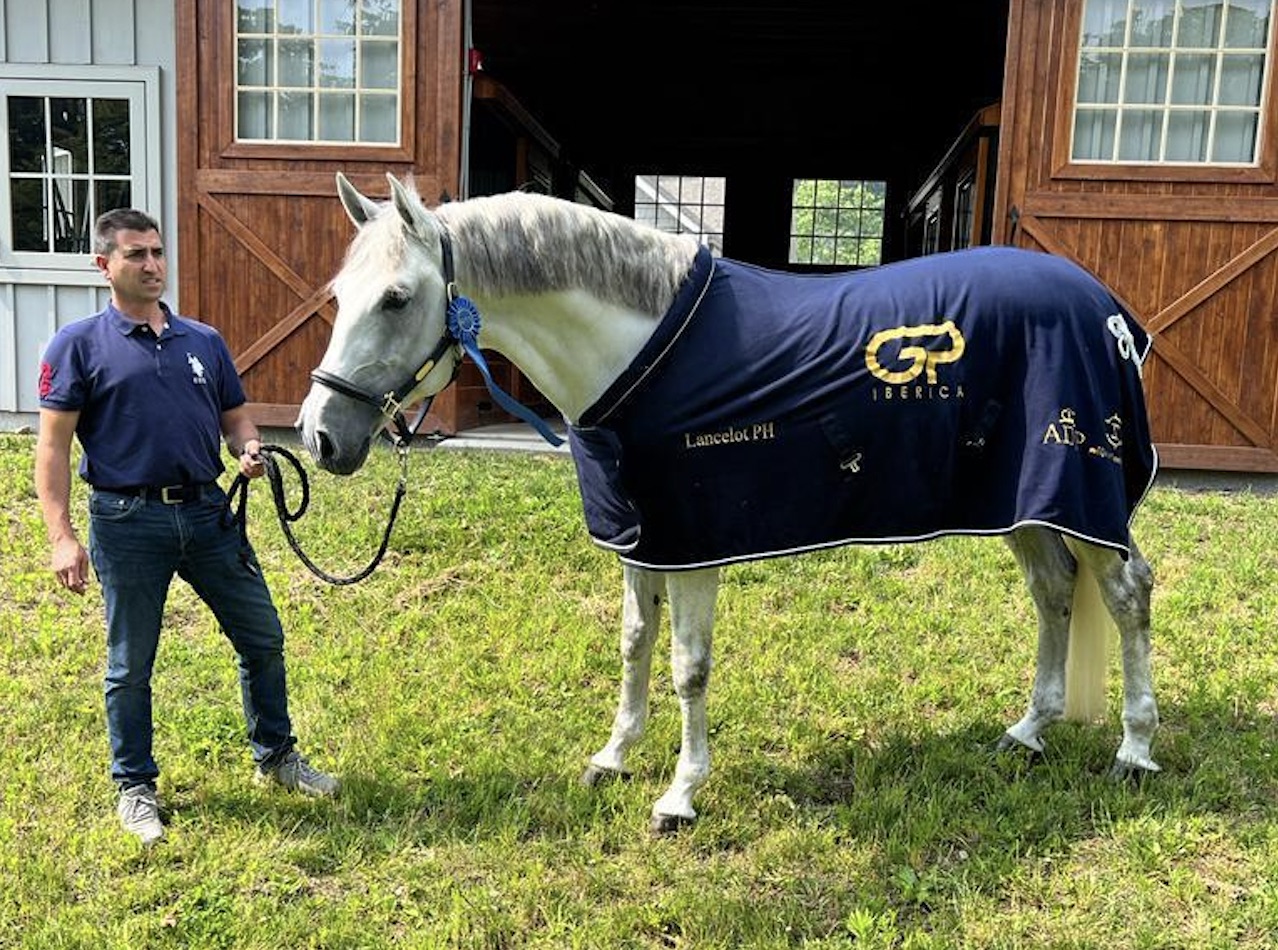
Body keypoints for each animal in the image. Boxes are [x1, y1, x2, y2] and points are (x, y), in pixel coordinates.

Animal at [296, 175, 1160, 833]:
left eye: (397, 299)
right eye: (338, 295)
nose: (319, 436)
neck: (639, 351)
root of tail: (1107, 310)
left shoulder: (691, 549)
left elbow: (689, 668)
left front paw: (680, 793)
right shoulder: (643, 539)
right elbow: (634, 644)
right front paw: (614, 757)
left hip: (1078, 500)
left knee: (1125, 594)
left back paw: (1134, 749)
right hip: (1026, 506)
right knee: (1054, 593)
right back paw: (1029, 732)